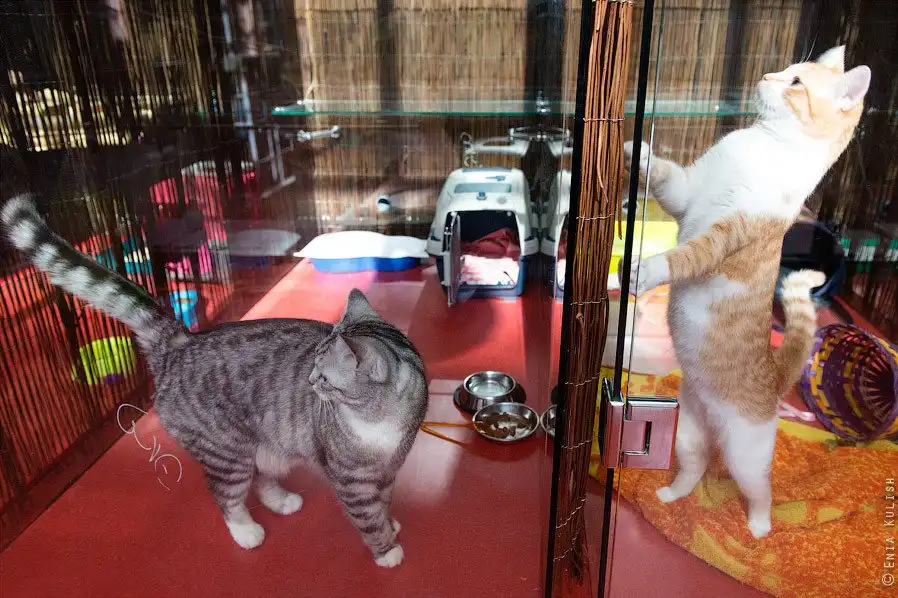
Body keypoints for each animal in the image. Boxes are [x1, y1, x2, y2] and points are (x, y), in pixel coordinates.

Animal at [1, 194, 428, 567]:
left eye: (323, 376)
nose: (308, 380)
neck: (377, 423)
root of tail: (179, 342)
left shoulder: (389, 470)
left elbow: (383, 504)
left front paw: (391, 524)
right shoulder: (351, 480)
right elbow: (367, 517)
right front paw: (386, 550)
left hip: (266, 443)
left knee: (261, 478)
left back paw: (281, 501)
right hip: (226, 451)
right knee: (226, 496)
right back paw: (246, 531)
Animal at [621, 45, 870, 539]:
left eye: (796, 83)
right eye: (788, 69)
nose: (767, 75)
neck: (763, 145)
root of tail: (774, 377)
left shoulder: (727, 234)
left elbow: (685, 256)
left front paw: (648, 268)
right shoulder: (685, 193)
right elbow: (665, 174)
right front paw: (636, 152)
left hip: (746, 456)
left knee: (761, 491)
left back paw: (758, 529)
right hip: (687, 431)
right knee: (694, 467)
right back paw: (670, 497)